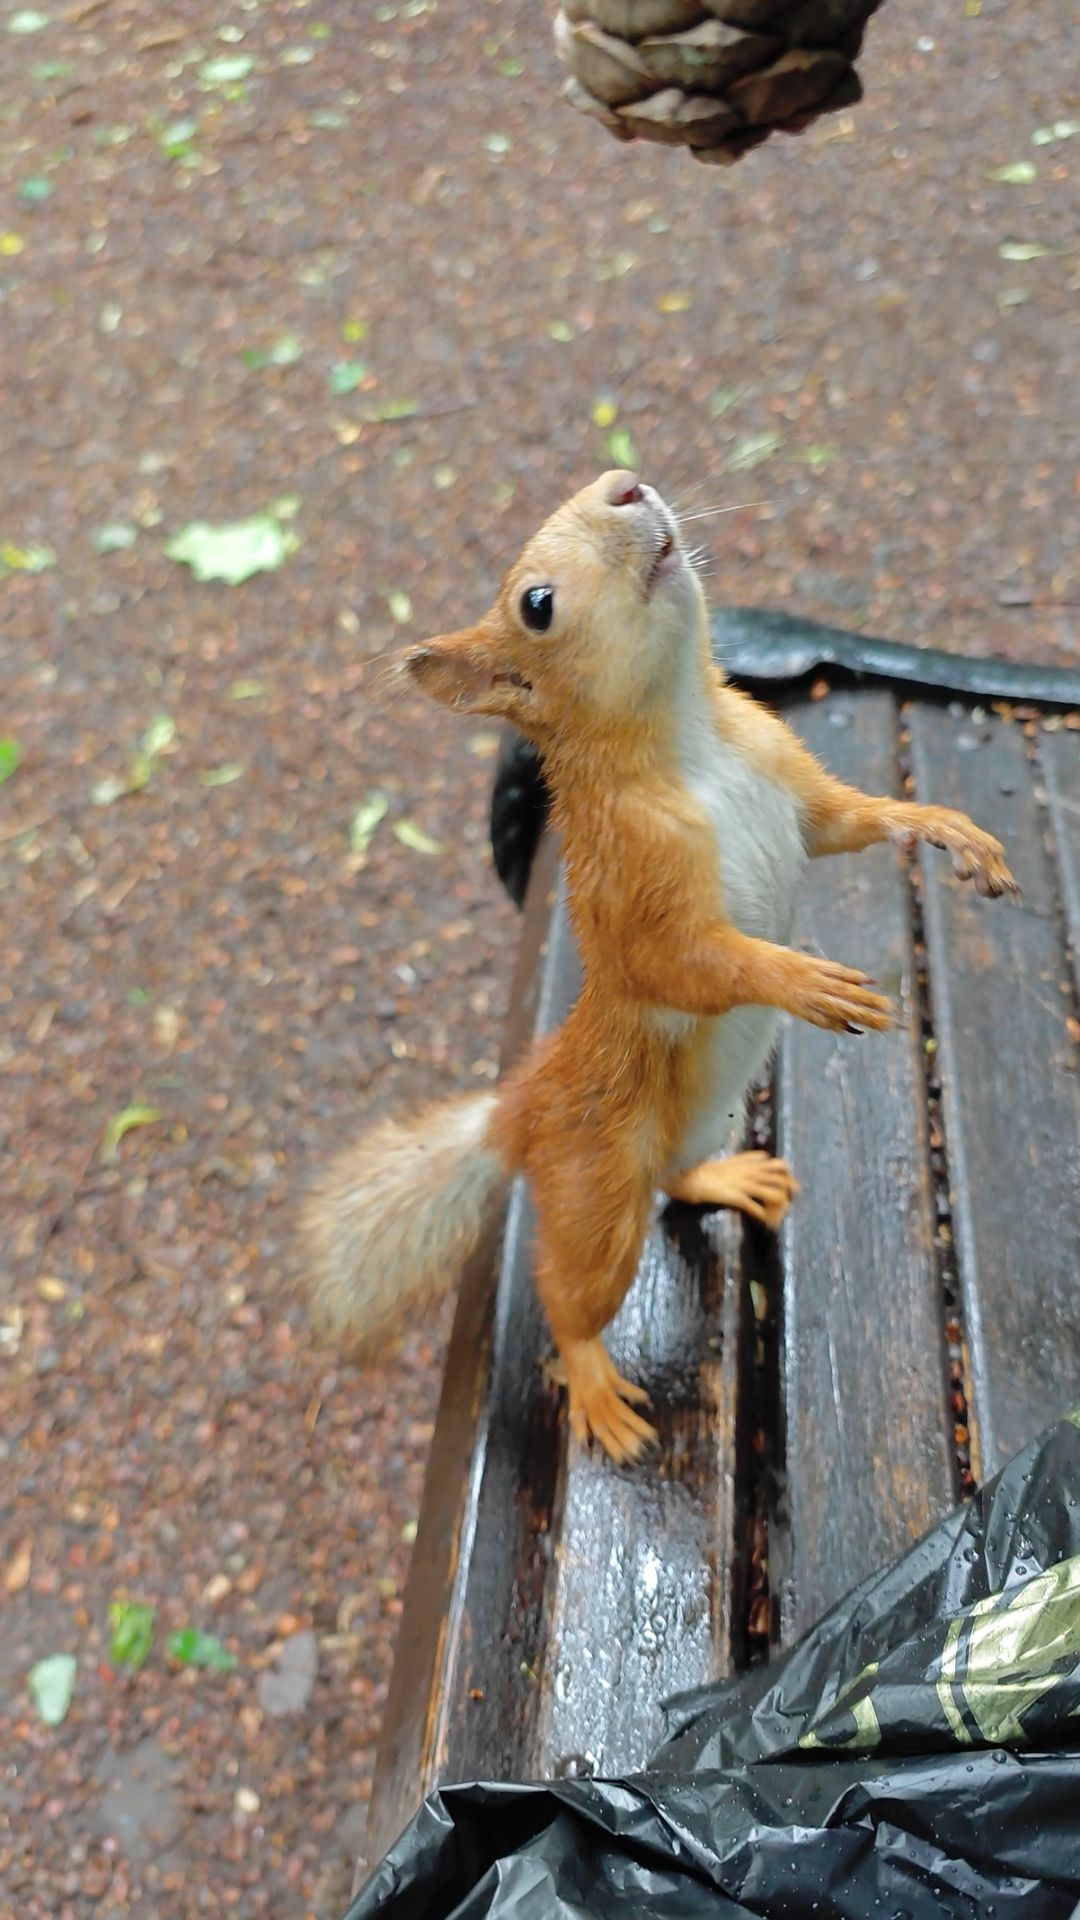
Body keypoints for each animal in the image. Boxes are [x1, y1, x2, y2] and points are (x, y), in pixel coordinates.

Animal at [300, 470, 1018, 1464]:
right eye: (535, 605)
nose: (624, 484)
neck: (695, 738)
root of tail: (526, 1105)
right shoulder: (632, 883)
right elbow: (684, 963)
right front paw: (805, 981)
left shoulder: (792, 783)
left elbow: (852, 822)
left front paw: (946, 826)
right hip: (598, 1195)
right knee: (571, 1297)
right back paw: (597, 1387)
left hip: (694, 1122)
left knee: (679, 1178)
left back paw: (728, 1179)